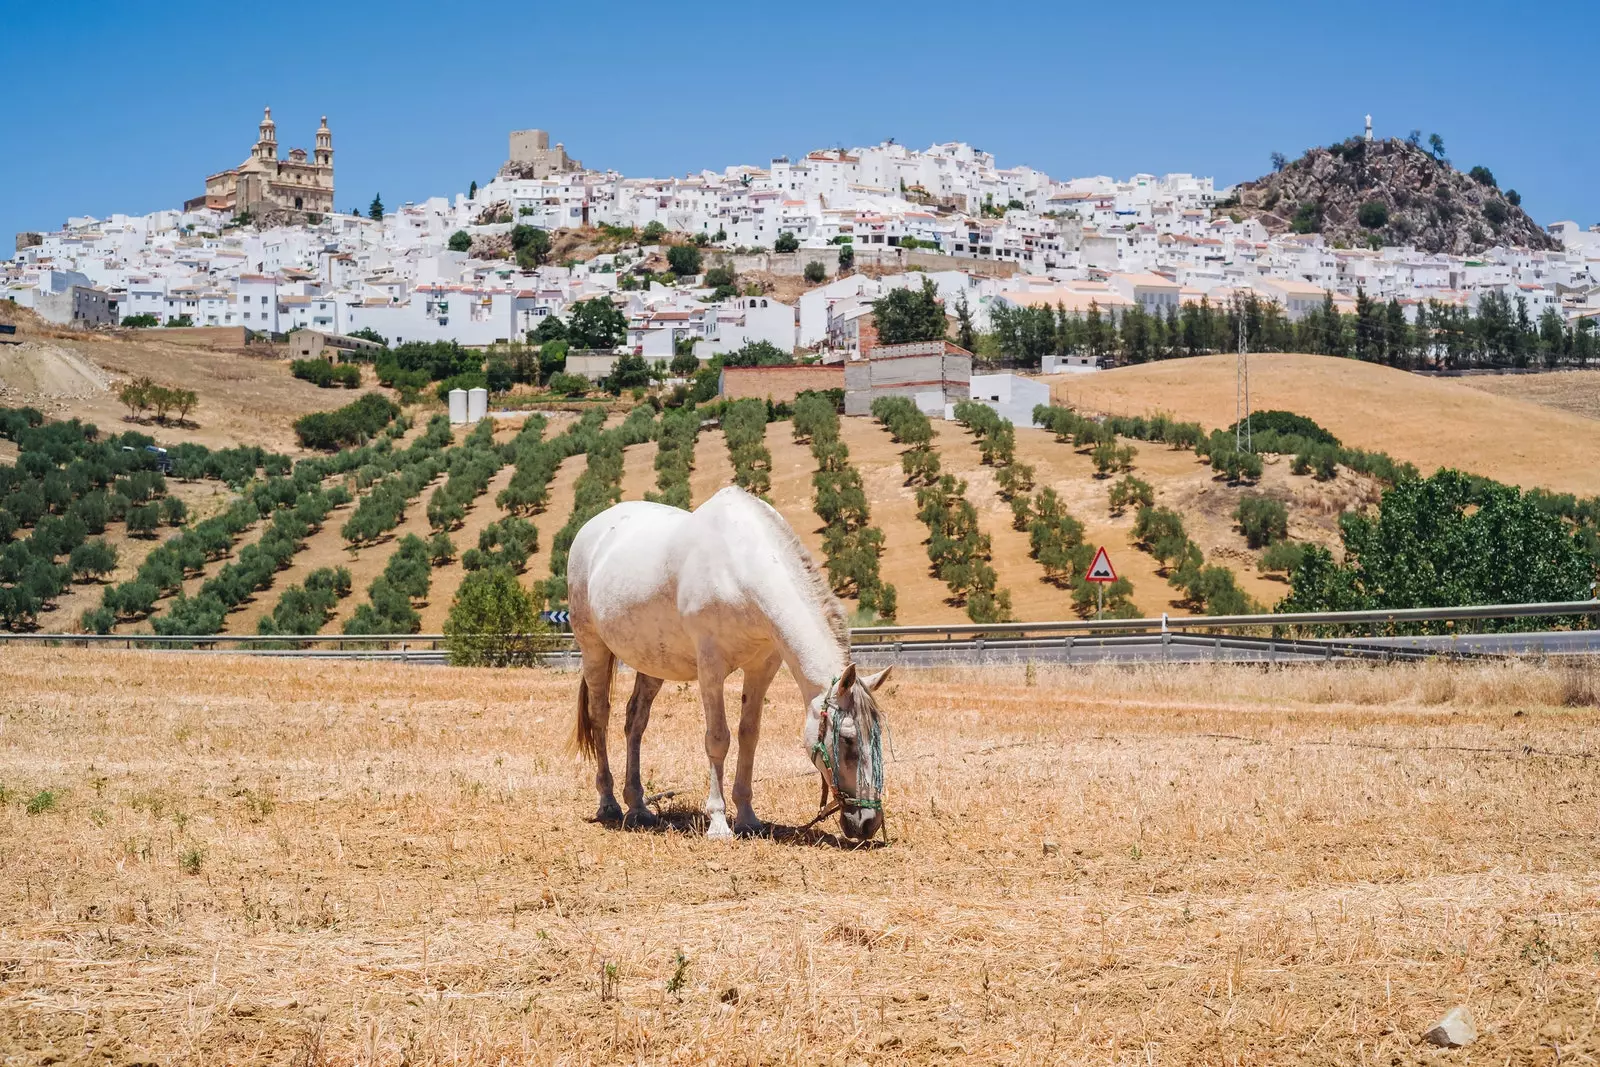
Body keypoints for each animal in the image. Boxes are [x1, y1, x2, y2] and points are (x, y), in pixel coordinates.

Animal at [566, 486, 896, 844]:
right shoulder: (711, 667)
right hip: (593, 649)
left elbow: (748, 735)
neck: (740, 568)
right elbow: (718, 739)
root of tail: (591, 529)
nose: (868, 822)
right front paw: (718, 821)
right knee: (600, 717)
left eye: (877, 736)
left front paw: (748, 818)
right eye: (848, 740)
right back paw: (609, 803)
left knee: (635, 722)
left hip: (652, 663)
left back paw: (638, 807)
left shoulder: (762, 666)